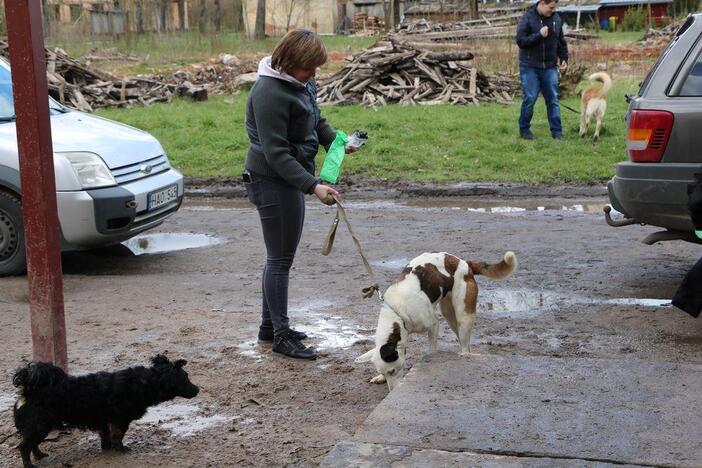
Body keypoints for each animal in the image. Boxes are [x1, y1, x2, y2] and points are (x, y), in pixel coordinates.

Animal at [13, 354, 198, 468]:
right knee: (24, 446)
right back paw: (30, 464)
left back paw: (40, 456)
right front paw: (121, 449)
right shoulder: (120, 420)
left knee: (32, 445)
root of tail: (29, 391)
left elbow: (106, 436)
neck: (145, 382)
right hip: (39, 426)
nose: (198, 389)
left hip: (39, 428)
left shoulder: (105, 421)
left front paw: (107, 449)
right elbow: (118, 436)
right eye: (186, 378)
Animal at [358, 250, 516, 390]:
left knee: (465, 347)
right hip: (450, 316)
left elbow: (432, 350)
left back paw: (463, 357)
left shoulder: (433, 325)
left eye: (392, 371)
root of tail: (464, 263)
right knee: (466, 344)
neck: (397, 313)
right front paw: (380, 378)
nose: (392, 390)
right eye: (385, 372)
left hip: (463, 316)